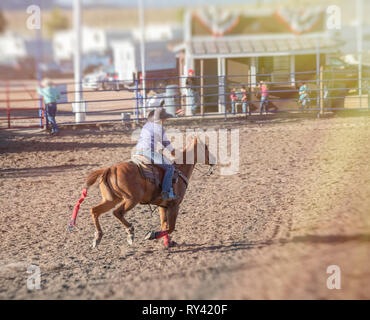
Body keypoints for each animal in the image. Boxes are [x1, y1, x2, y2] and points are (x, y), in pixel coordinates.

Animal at [70, 134, 214, 248]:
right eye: (206, 148)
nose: (214, 160)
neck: (179, 170)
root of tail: (110, 169)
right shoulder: (175, 205)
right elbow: (171, 227)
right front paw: (152, 235)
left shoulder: (163, 206)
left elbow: (165, 225)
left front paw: (168, 243)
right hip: (131, 199)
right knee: (117, 212)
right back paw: (130, 232)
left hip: (111, 199)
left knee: (94, 211)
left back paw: (98, 237)